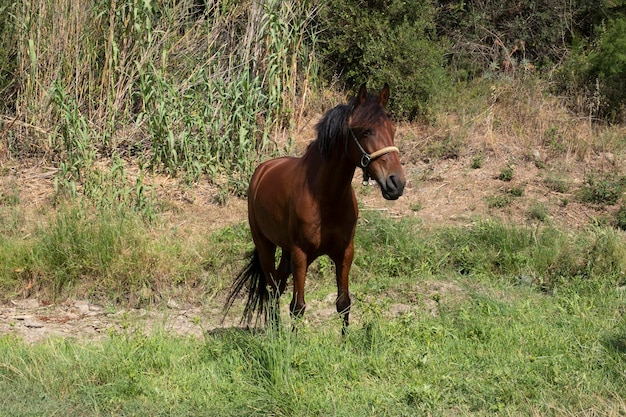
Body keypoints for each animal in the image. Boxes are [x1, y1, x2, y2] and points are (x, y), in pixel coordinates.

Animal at [224, 83, 404, 332]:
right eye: (366, 131)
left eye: (392, 128)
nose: (396, 183)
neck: (326, 198)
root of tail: (263, 170)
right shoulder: (301, 254)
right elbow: (297, 307)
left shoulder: (344, 253)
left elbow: (343, 303)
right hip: (266, 246)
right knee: (271, 288)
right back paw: (275, 332)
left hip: (287, 253)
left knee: (278, 285)